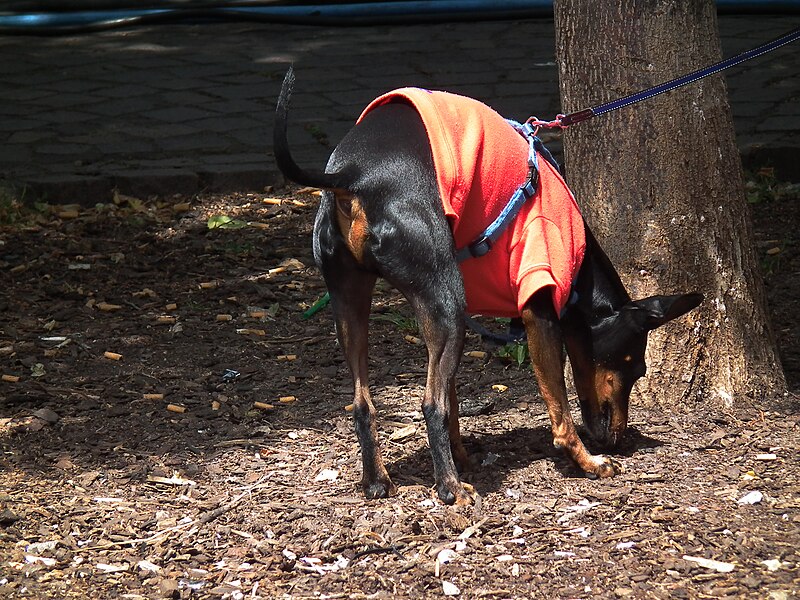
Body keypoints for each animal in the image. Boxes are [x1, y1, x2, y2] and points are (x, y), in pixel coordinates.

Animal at [272, 68, 704, 504]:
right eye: (634, 367)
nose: (617, 439)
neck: (580, 268)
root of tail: (354, 175)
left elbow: (454, 401)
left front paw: (463, 457)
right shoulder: (539, 310)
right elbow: (559, 409)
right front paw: (586, 462)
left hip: (353, 301)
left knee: (364, 403)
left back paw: (378, 480)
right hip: (447, 307)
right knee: (430, 404)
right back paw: (449, 489)